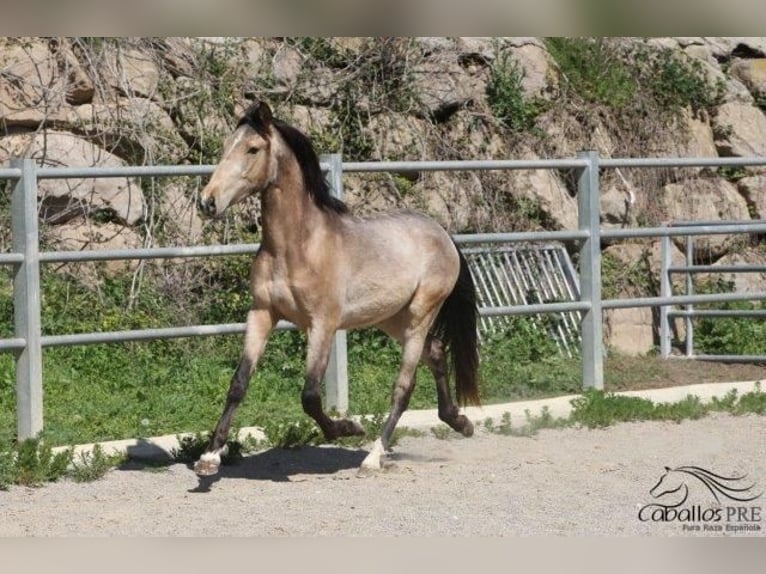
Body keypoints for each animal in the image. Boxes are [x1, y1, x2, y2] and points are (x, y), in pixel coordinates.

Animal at [192, 102, 480, 476]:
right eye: (228, 145)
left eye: (252, 149)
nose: (207, 202)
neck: (297, 247)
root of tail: (443, 234)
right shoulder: (262, 314)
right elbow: (238, 383)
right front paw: (210, 457)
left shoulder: (323, 324)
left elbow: (310, 395)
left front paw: (347, 428)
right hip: (391, 318)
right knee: (435, 351)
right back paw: (459, 422)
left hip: (420, 313)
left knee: (404, 386)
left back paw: (373, 456)